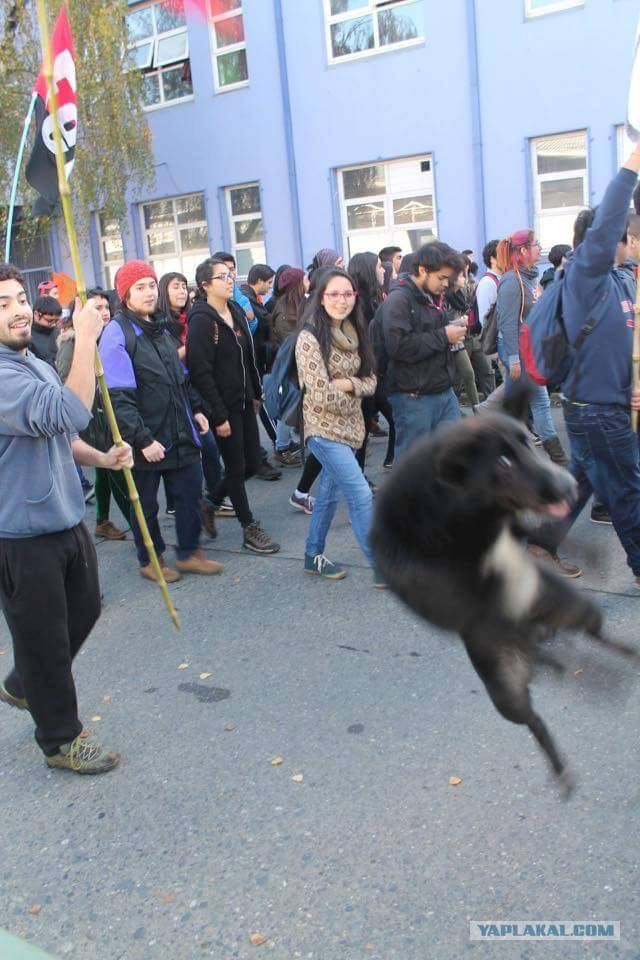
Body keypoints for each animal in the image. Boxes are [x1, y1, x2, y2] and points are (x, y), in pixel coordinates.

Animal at [370, 394, 640, 792]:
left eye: (527, 443)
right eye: (502, 462)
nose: (569, 485)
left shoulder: (509, 529)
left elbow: (533, 530)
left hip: (576, 607)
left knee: (593, 636)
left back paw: (618, 653)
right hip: (506, 693)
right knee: (537, 718)